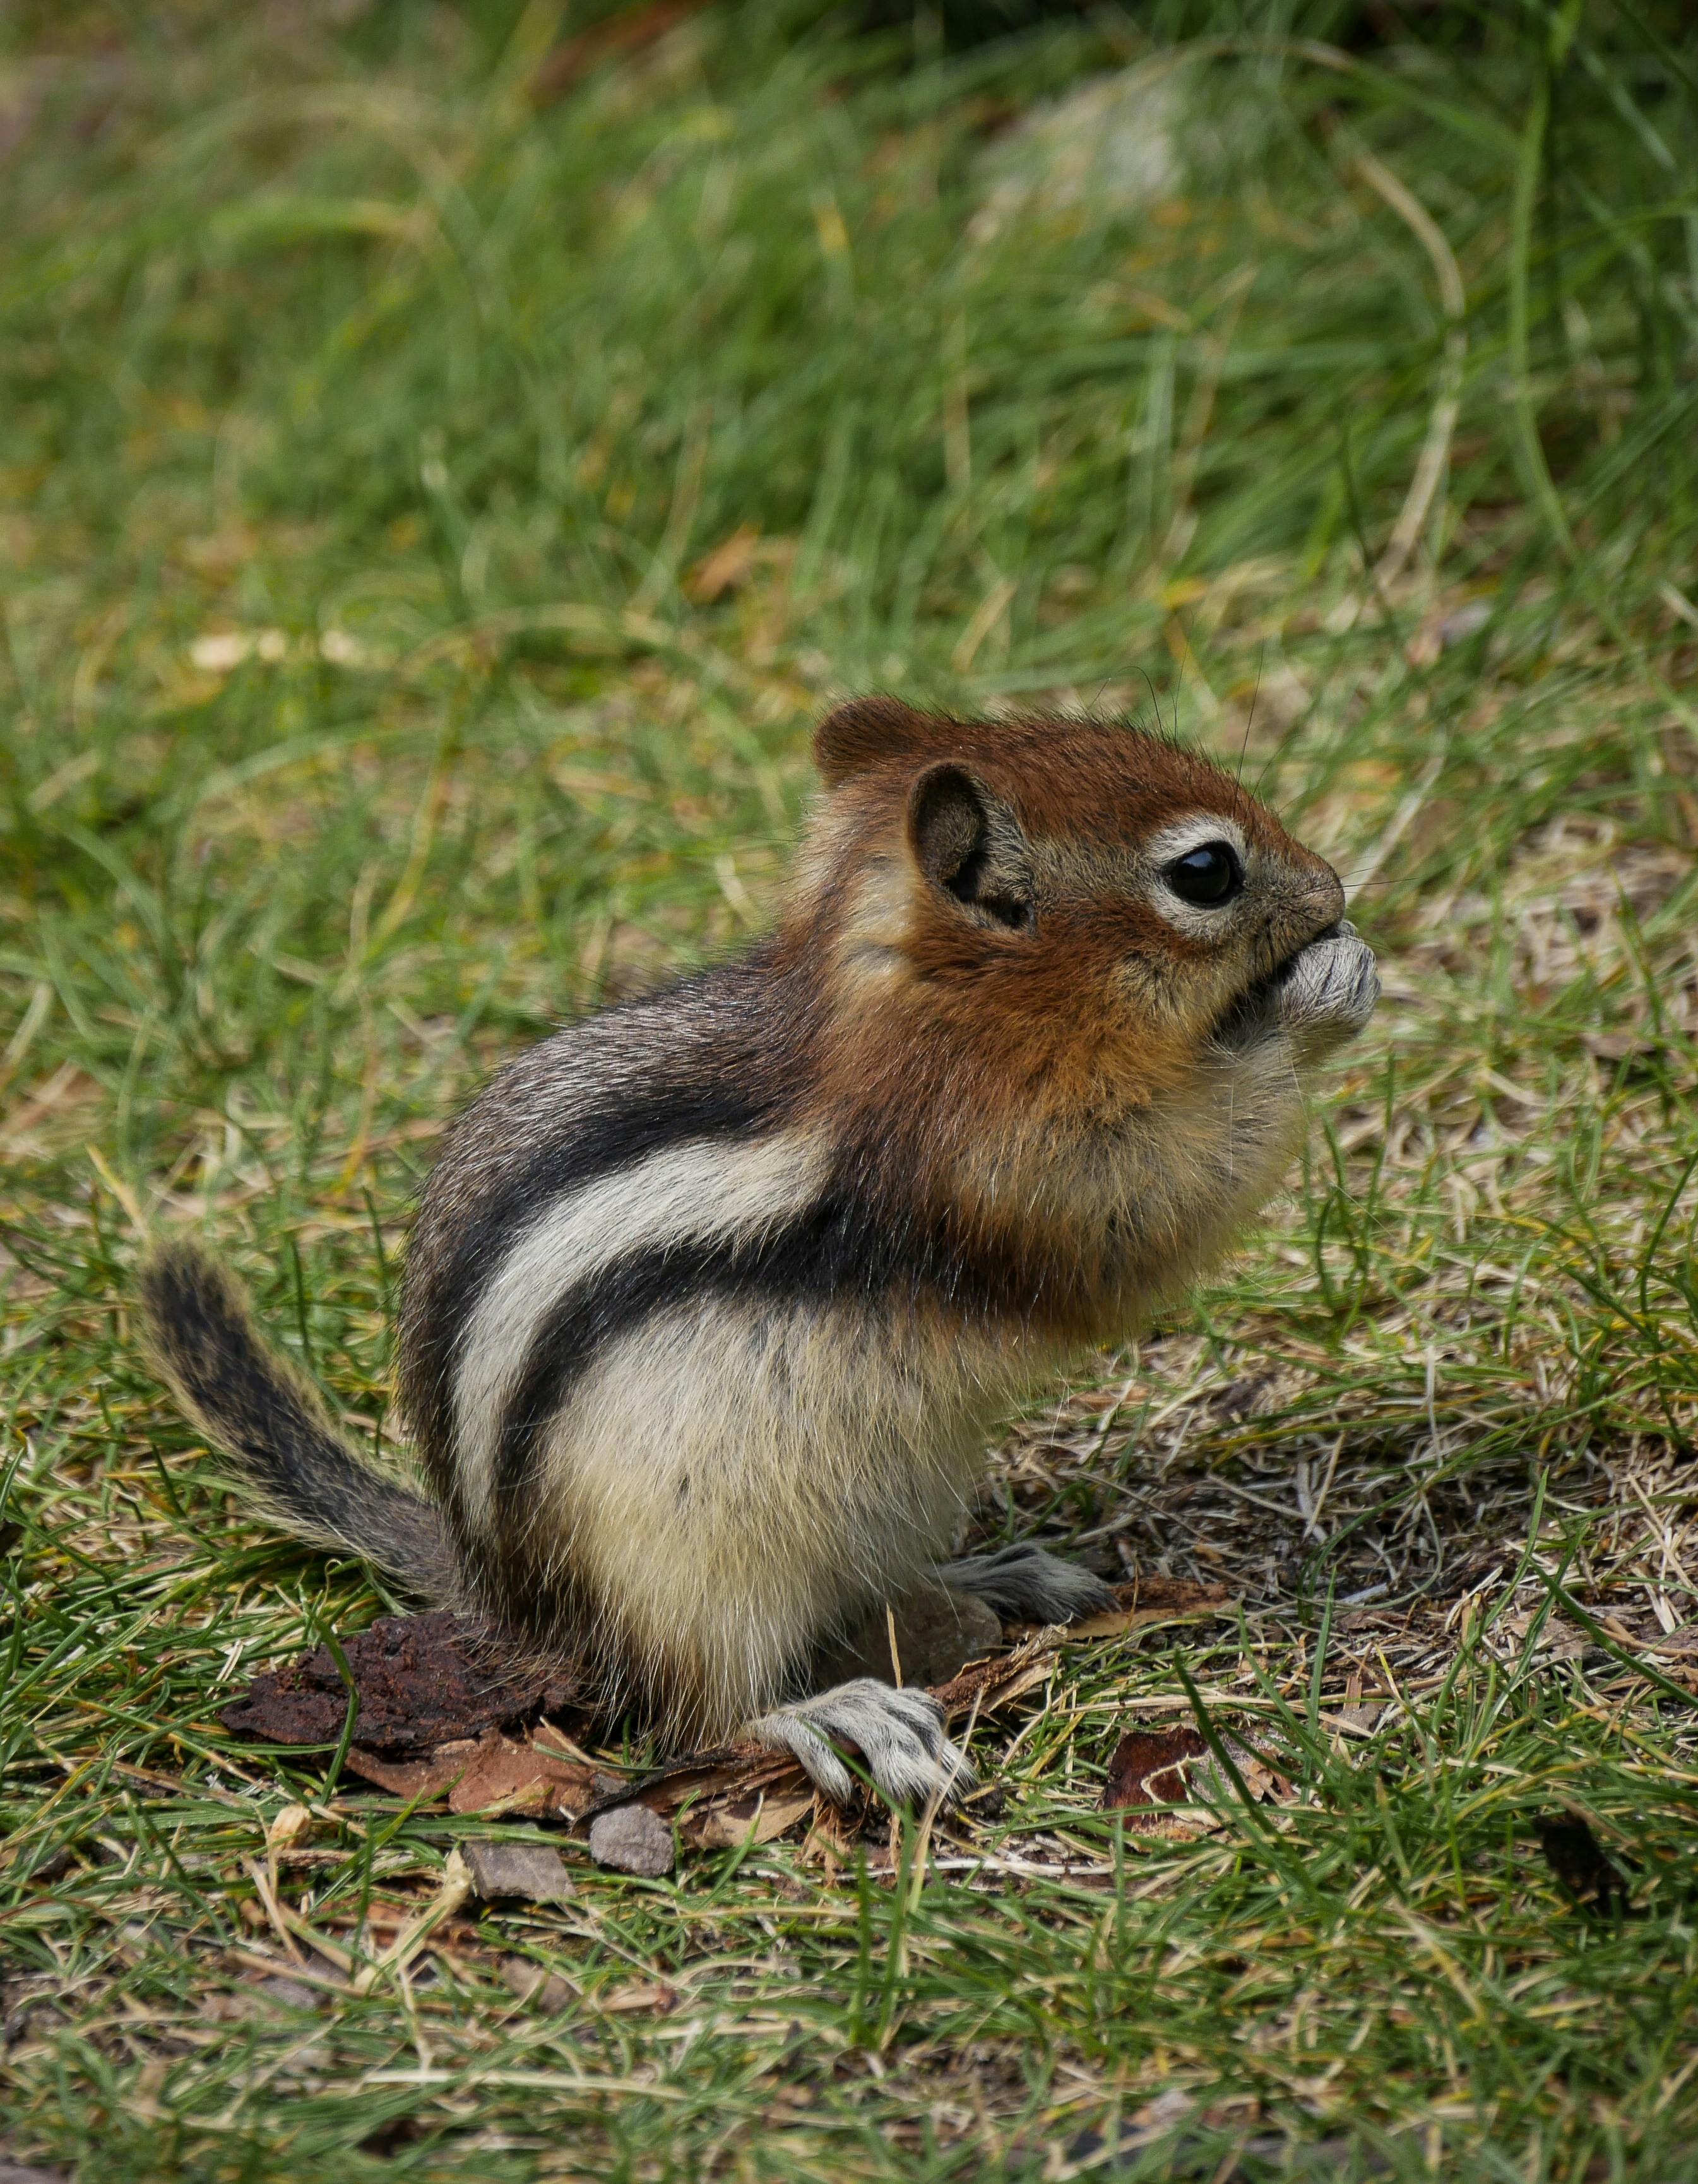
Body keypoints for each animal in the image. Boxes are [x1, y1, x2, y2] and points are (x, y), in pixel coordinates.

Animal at [140, 699, 1378, 1807]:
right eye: (1207, 871)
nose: (1334, 889)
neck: (933, 1004)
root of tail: (519, 1609)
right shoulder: (1006, 1154)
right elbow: (1157, 1202)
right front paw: (1319, 997)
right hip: (687, 1572)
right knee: (698, 1709)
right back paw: (834, 1714)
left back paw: (994, 1572)